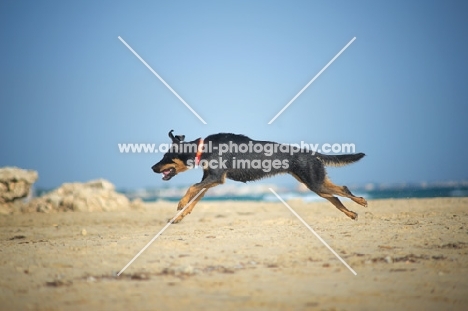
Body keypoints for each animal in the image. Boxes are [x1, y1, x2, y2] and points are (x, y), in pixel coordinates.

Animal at [152, 130, 368, 223]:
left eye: (165, 157)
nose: (152, 167)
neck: (202, 148)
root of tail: (312, 153)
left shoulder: (215, 178)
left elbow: (191, 189)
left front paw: (181, 204)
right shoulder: (210, 180)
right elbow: (196, 196)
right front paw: (182, 214)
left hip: (315, 183)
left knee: (343, 191)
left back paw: (361, 201)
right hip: (315, 184)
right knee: (335, 197)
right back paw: (351, 213)